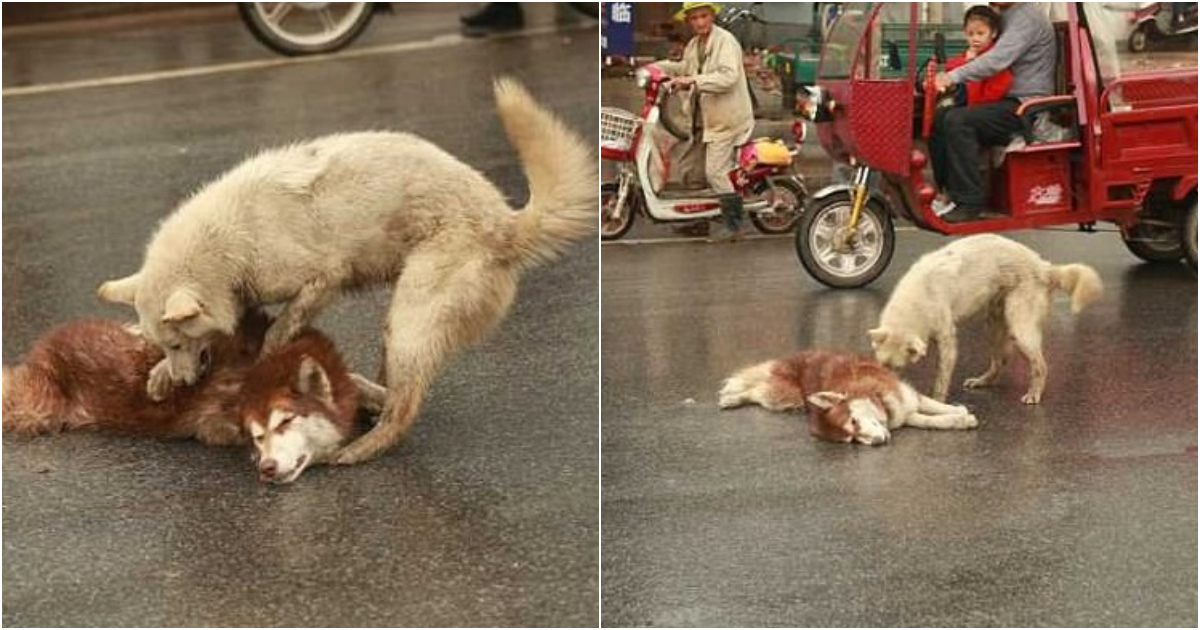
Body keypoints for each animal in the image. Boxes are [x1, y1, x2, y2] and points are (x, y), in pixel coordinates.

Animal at [98, 77, 595, 460]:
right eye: (166, 345)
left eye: (179, 341)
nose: (187, 382)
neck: (225, 246)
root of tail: (505, 222)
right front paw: (160, 376)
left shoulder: (322, 278)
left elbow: (281, 327)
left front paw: (264, 354)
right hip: (399, 324)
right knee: (392, 390)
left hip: (411, 319)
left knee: (405, 408)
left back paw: (360, 448)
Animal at [868, 234, 1099, 403]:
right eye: (881, 366)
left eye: (897, 368)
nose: (880, 394)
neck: (917, 301)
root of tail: (1044, 265)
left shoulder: (947, 341)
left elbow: (941, 378)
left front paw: (938, 401)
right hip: (994, 327)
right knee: (1001, 361)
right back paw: (983, 381)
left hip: (1020, 329)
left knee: (1040, 366)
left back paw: (1034, 393)